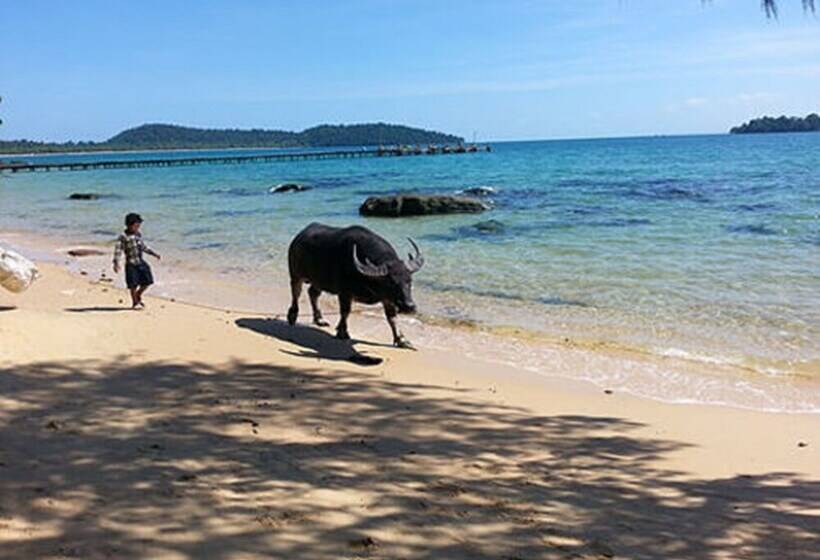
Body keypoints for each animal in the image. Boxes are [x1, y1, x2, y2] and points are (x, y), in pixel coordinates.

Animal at [286, 224, 422, 350]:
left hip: (318, 281)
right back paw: (292, 316)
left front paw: (402, 340)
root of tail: (298, 237)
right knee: (296, 292)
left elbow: (392, 318)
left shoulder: (387, 299)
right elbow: (345, 311)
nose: (409, 306)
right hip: (296, 274)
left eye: (409, 281)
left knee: (313, 293)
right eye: (391, 283)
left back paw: (319, 319)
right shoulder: (344, 293)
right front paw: (342, 332)